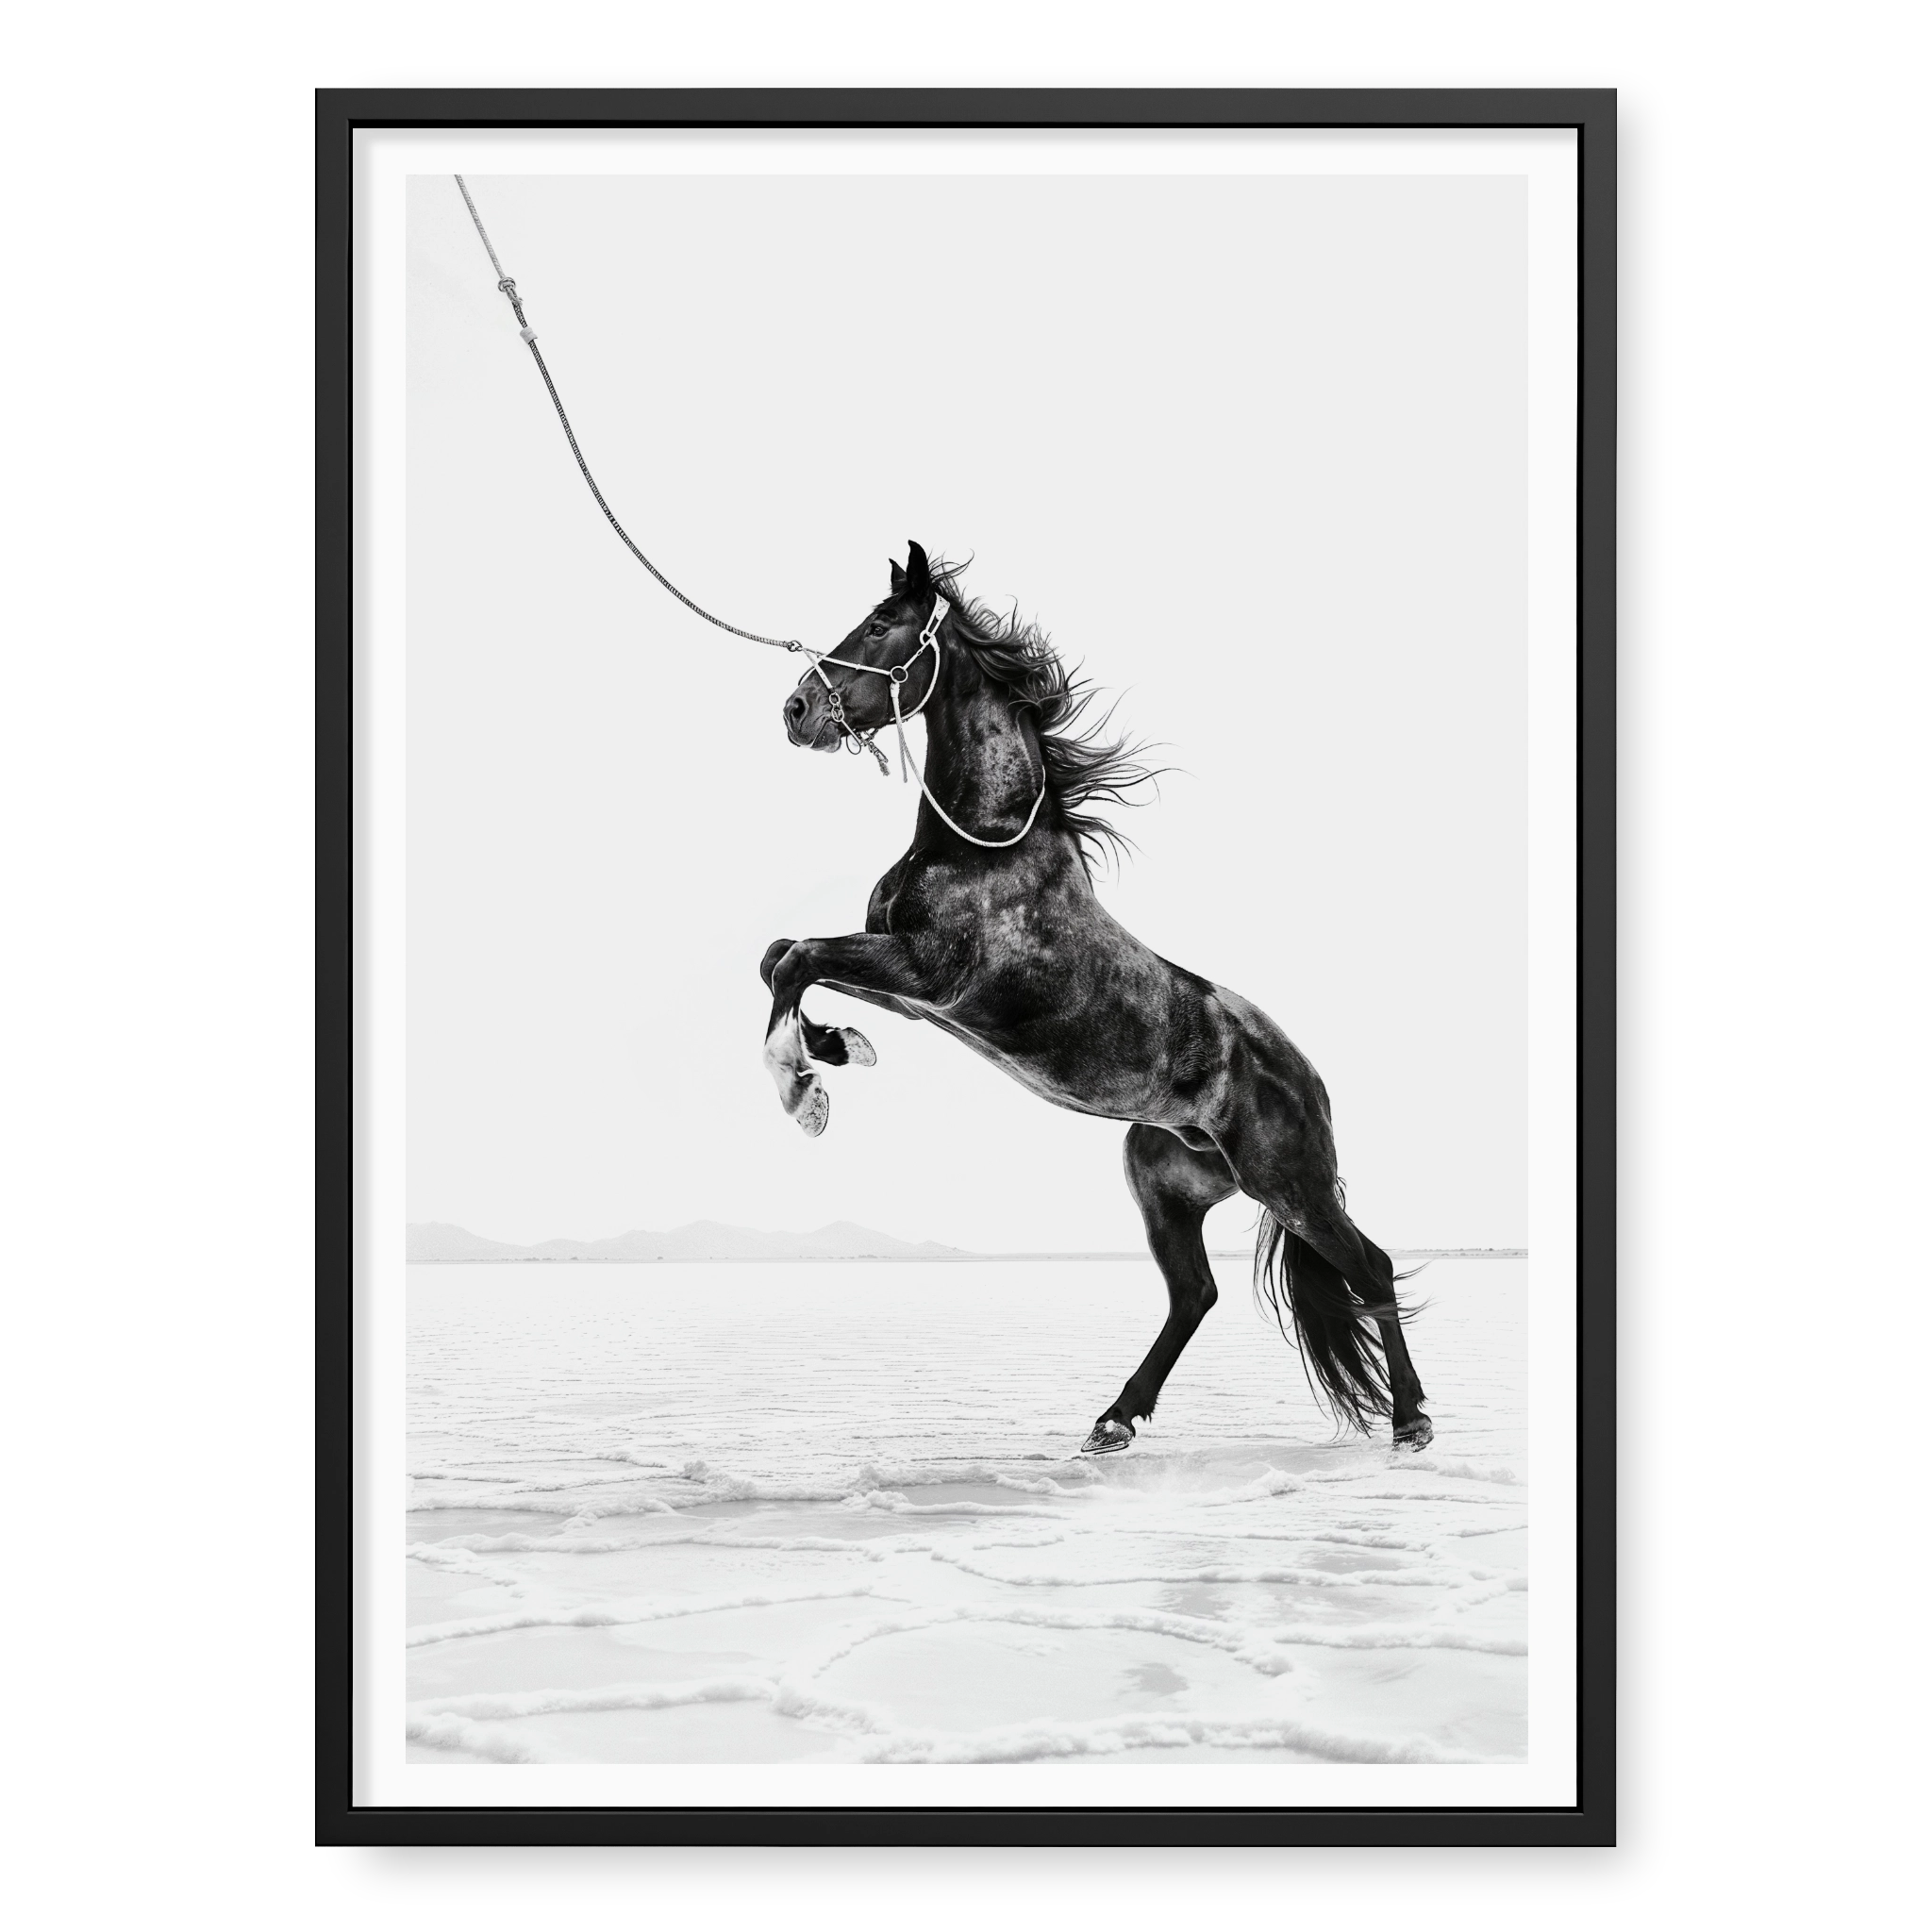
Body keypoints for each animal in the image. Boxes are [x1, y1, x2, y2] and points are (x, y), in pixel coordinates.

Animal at [761, 543, 1432, 1456]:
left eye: (879, 623)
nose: (797, 711)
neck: (984, 845)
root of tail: (1310, 1080)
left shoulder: (926, 975)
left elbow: (795, 960)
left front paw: (804, 1088)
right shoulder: (906, 989)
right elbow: (783, 959)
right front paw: (834, 1049)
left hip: (1289, 1182)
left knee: (1370, 1265)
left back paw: (1413, 1420)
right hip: (1168, 1188)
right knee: (1197, 1294)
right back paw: (1113, 1421)